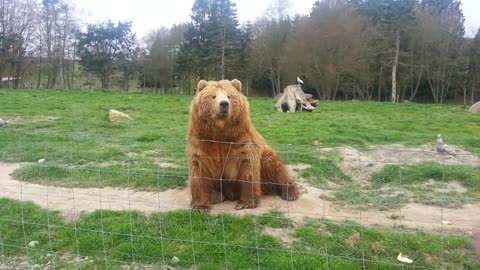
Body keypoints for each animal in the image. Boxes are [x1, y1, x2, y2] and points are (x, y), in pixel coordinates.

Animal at [186, 79, 298, 210]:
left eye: (229, 96)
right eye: (213, 96)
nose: (224, 104)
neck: (221, 132)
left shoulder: (241, 140)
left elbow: (248, 168)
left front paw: (244, 203)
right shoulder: (203, 141)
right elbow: (200, 169)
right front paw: (200, 206)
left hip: (266, 157)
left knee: (275, 167)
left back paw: (290, 193)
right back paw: (216, 195)